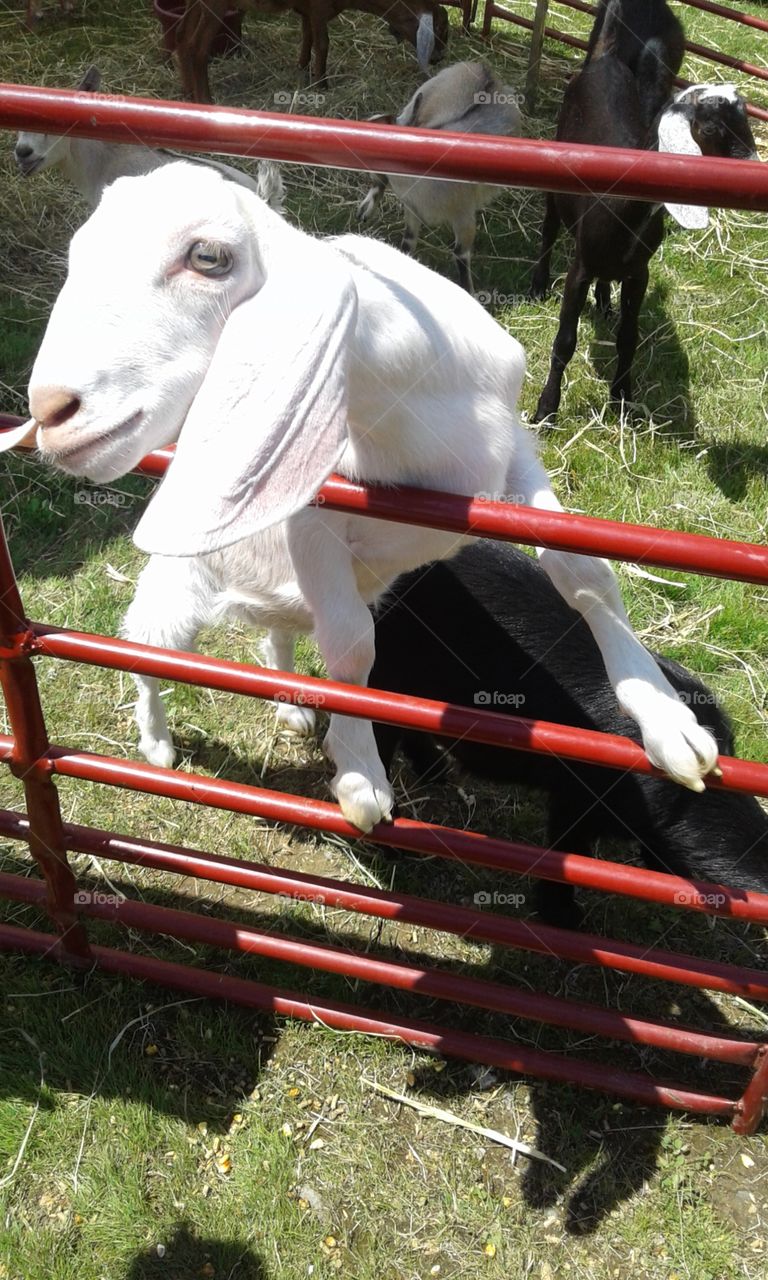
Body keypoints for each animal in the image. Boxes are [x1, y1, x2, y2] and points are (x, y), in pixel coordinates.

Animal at [0, 162, 719, 832]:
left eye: (208, 257)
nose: (53, 409)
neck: (402, 418)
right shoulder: (312, 516)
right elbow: (352, 645)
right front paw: (361, 775)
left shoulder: (511, 454)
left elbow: (584, 572)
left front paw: (668, 723)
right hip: (178, 589)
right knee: (147, 648)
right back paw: (155, 743)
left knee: (277, 635)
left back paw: (290, 703)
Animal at [176, 0, 449, 103]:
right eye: (440, 28)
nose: (439, 58)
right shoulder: (319, 9)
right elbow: (323, 44)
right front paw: (322, 84)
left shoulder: (308, 11)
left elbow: (307, 38)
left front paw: (303, 69)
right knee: (196, 46)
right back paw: (204, 100)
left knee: (181, 37)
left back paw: (188, 92)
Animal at [357, 60, 522, 294]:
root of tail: (481, 68)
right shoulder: (412, 207)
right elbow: (408, 241)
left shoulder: (464, 216)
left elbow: (461, 255)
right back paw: (366, 209)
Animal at [530, 0, 758, 423]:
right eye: (713, 128)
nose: (753, 165)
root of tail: (604, 58)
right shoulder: (580, 267)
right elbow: (564, 341)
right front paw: (546, 409)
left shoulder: (639, 272)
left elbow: (628, 338)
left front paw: (623, 397)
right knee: (549, 227)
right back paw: (538, 283)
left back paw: (605, 302)